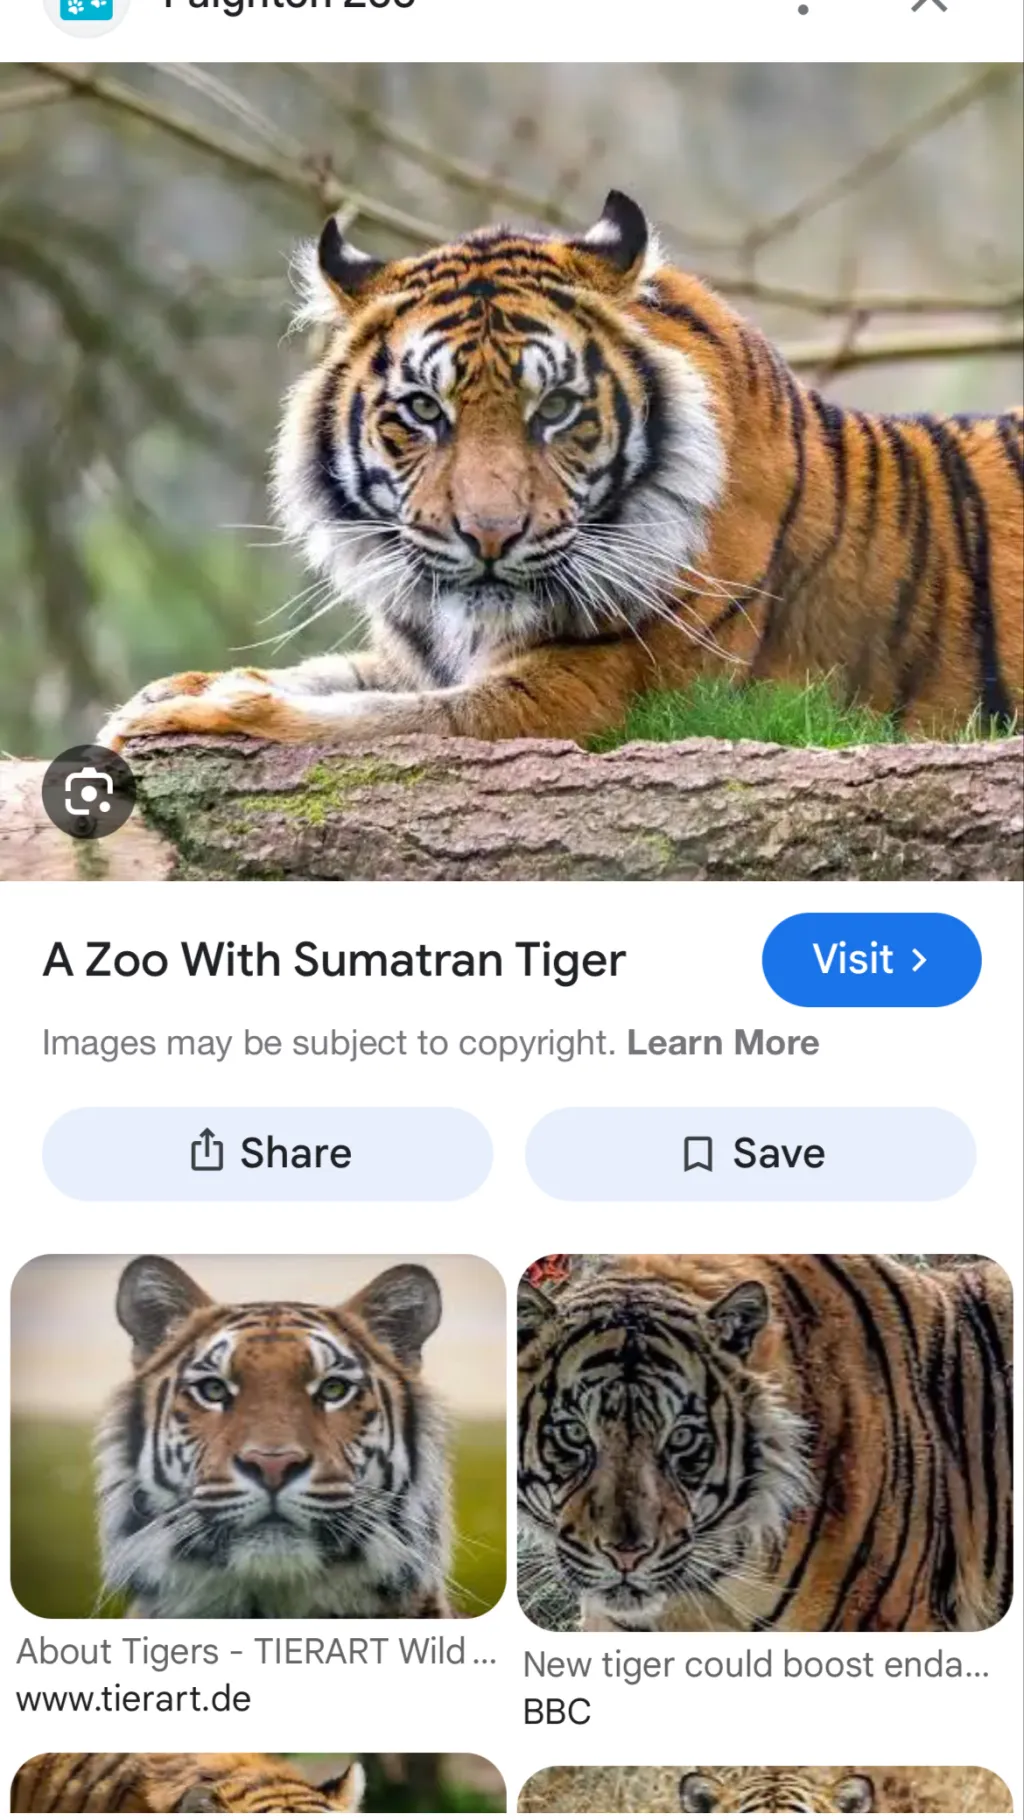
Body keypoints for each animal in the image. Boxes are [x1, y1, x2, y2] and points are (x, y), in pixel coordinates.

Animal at [98, 189, 1023, 755]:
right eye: (424, 410)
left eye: (556, 409)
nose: (489, 536)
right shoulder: (420, 656)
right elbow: (334, 676)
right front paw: (164, 690)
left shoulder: (590, 692)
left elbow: (379, 722)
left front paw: (197, 713)